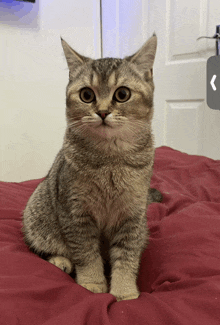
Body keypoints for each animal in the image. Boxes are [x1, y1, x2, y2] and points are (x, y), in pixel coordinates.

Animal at [22, 34, 162, 300]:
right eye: (86, 95)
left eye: (122, 94)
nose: (103, 112)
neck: (110, 160)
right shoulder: (76, 214)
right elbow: (87, 254)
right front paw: (93, 284)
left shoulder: (132, 217)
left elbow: (127, 257)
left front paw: (125, 292)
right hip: (37, 213)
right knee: (43, 247)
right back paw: (60, 261)